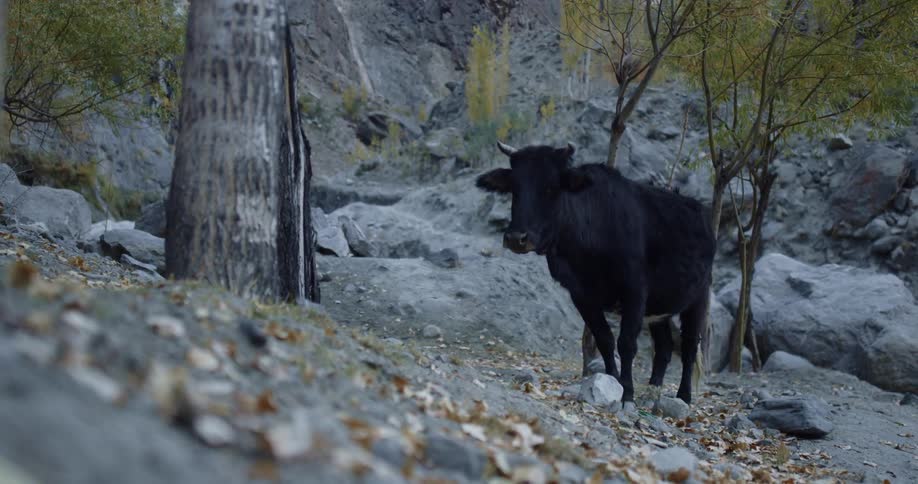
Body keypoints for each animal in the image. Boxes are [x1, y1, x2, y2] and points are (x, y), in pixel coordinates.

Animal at [475, 141, 716, 405]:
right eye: (514, 188)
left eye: (551, 188)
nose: (516, 238)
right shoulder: (581, 294)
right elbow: (604, 339)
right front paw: (613, 383)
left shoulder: (635, 291)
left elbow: (626, 344)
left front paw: (627, 393)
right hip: (659, 307)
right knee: (664, 347)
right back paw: (653, 392)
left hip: (698, 297)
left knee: (689, 346)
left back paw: (684, 396)